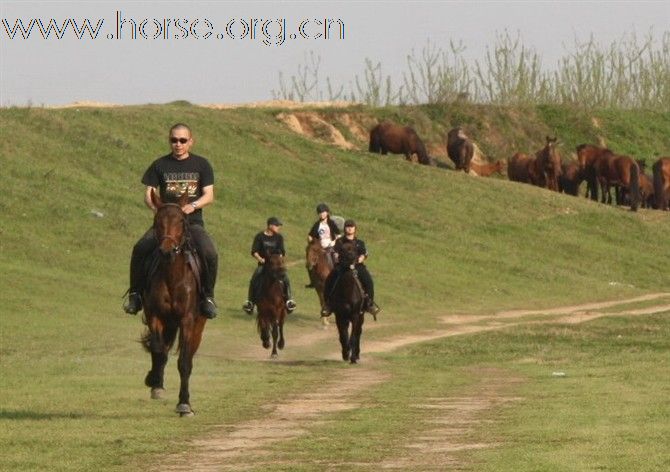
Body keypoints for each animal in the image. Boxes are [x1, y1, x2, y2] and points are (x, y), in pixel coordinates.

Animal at [140, 189, 206, 416]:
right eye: (157, 221)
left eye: (182, 221)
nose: (167, 251)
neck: (172, 277)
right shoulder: (155, 315)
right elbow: (159, 350)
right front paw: (154, 381)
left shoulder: (187, 320)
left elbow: (184, 363)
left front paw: (184, 404)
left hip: (197, 326)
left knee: (189, 356)